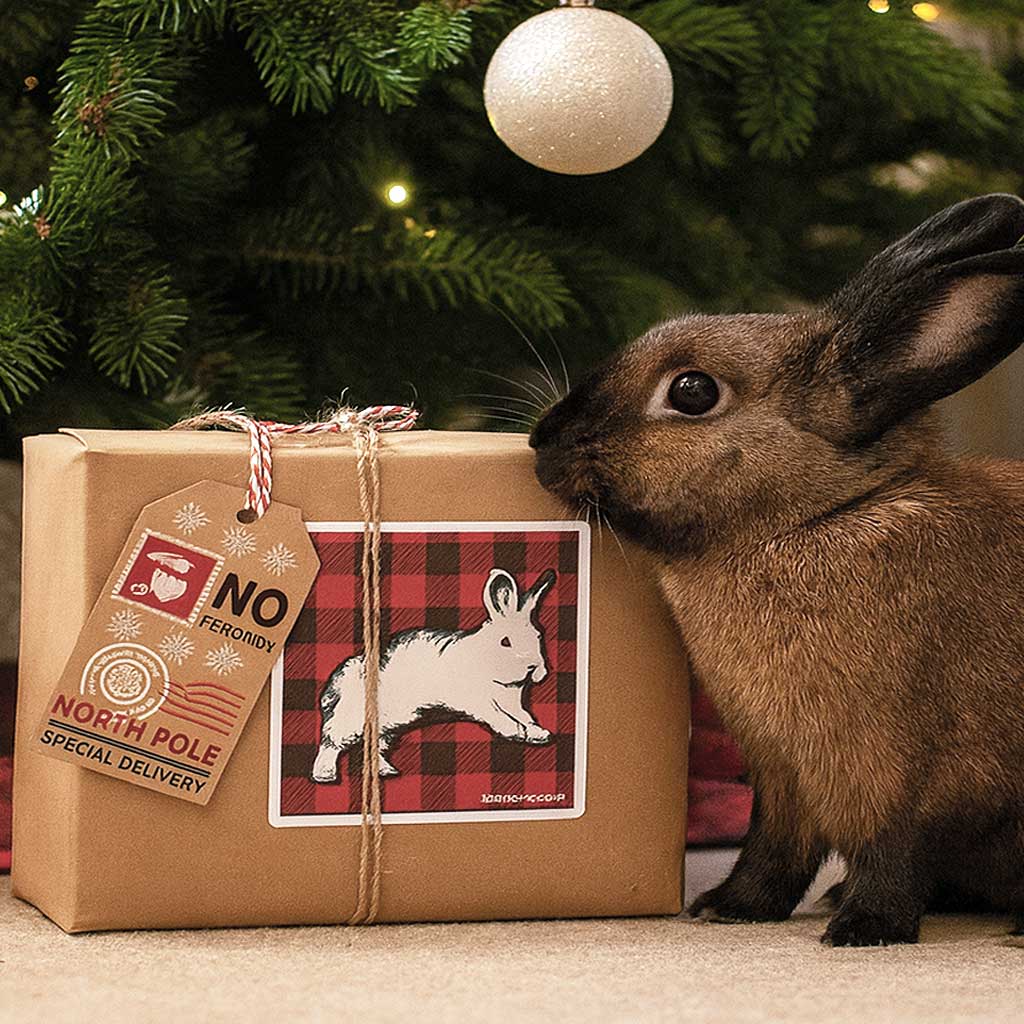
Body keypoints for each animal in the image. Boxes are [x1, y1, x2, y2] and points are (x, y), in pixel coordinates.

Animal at [311, 567, 556, 782]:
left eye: (538, 635)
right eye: (505, 641)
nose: (534, 667)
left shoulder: (514, 703)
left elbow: (525, 715)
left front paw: (538, 733)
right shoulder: (478, 702)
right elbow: (496, 715)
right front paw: (515, 731)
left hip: (386, 724)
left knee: (375, 746)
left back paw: (387, 771)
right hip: (350, 718)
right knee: (330, 742)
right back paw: (324, 775)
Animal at [530, 193, 1024, 947]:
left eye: (692, 392)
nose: (541, 442)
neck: (810, 519)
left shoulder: (896, 773)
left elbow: (893, 853)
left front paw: (863, 930)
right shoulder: (780, 773)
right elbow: (772, 852)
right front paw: (728, 907)